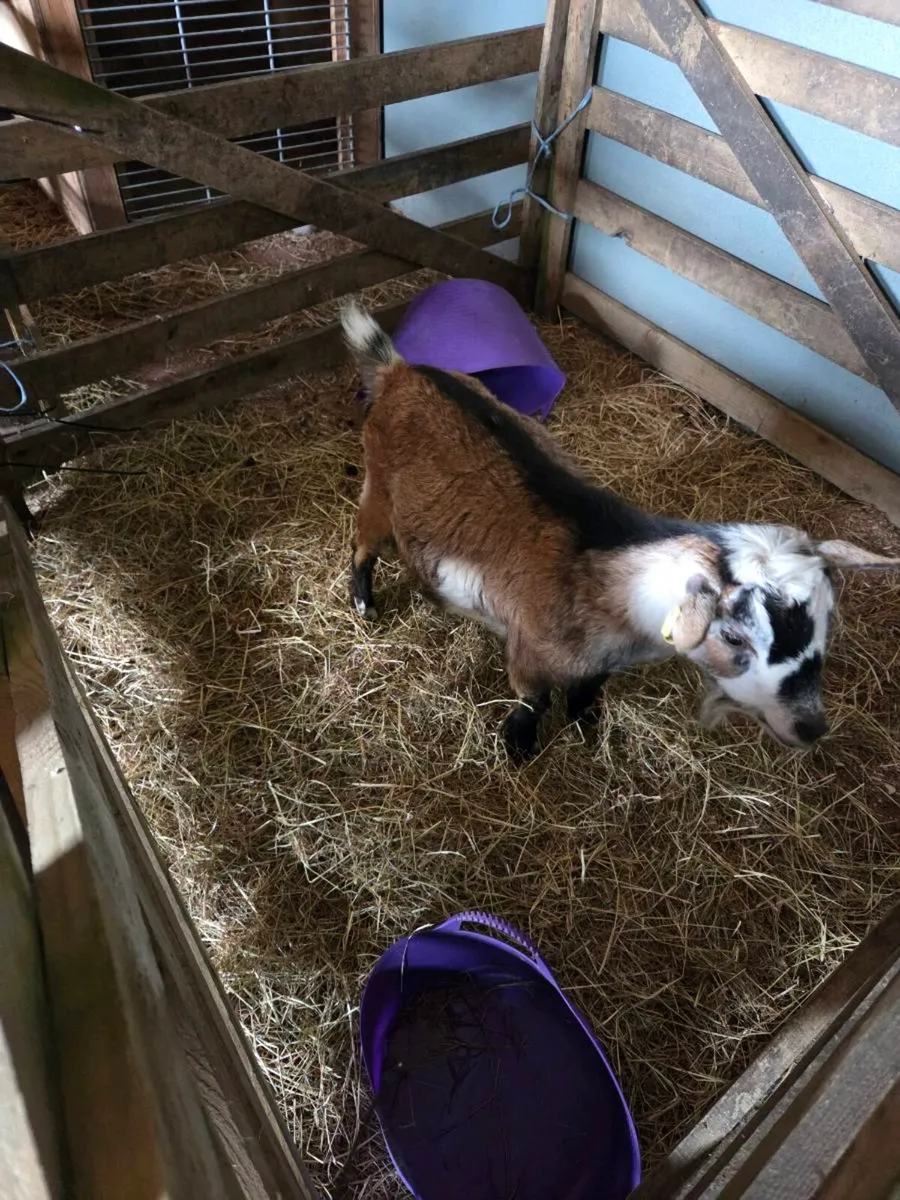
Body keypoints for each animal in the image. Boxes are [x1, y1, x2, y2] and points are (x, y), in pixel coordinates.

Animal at [341, 301, 900, 761]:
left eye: (826, 627)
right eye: (734, 636)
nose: (809, 728)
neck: (613, 585)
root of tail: (400, 370)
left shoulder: (601, 661)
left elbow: (590, 688)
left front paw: (587, 721)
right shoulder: (529, 646)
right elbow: (532, 699)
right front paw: (519, 747)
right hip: (377, 489)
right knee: (363, 545)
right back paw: (364, 603)